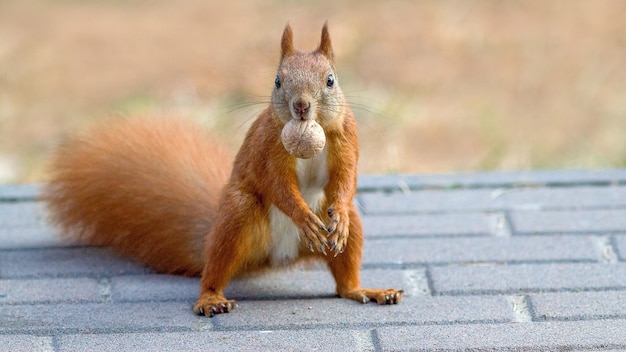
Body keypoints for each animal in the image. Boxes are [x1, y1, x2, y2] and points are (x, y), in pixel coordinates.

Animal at [45, 23, 404, 318]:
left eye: (331, 80)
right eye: (277, 81)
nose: (301, 106)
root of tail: (278, 255)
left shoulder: (347, 137)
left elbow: (346, 178)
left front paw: (338, 213)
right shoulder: (267, 148)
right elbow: (276, 183)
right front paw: (302, 217)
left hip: (350, 230)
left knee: (344, 283)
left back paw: (365, 289)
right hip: (238, 218)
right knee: (214, 270)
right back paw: (210, 298)